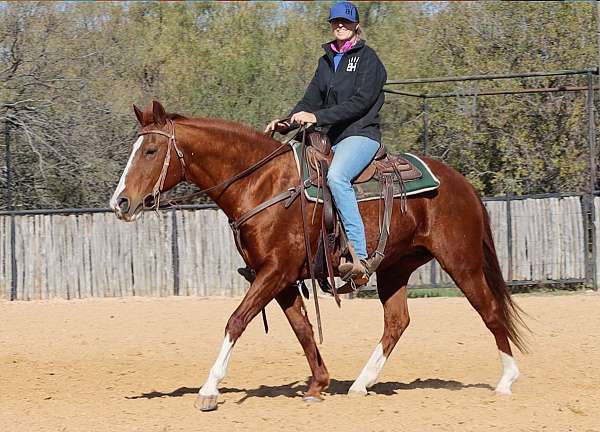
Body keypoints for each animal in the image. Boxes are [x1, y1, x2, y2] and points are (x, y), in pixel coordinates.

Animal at [110, 100, 528, 412]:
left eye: (150, 150)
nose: (121, 202)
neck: (262, 184)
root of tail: (462, 184)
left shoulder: (275, 272)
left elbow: (236, 321)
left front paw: (209, 390)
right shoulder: (279, 278)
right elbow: (303, 328)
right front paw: (318, 384)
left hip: (461, 261)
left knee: (490, 310)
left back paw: (507, 380)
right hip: (395, 267)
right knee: (397, 322)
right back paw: (361, 383)